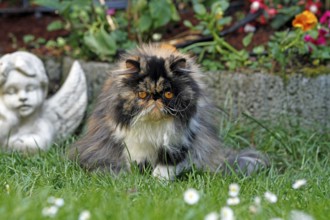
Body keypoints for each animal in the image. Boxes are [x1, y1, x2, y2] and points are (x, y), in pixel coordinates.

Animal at [69, 43, 268, 180]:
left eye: (168, 93)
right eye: (142, 94)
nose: (155, 98)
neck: (154, 125)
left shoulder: (177, 141)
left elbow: (166, 166)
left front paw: (158, 182)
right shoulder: (133, 143)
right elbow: (136, 162)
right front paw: (139, 177)